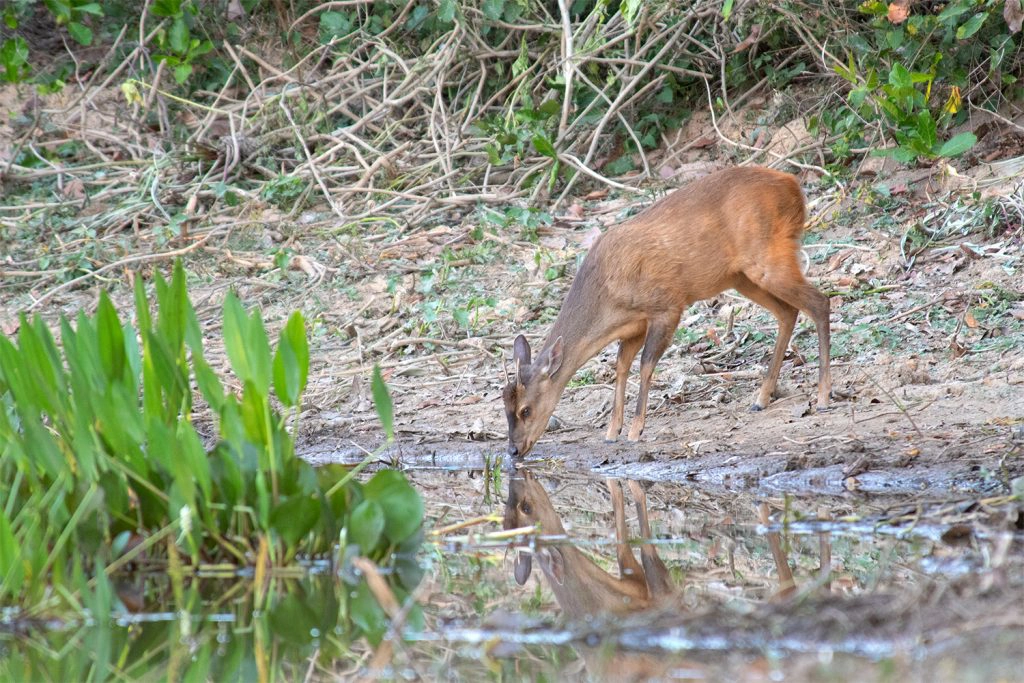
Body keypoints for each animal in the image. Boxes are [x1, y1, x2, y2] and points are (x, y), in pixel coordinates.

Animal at [502, 166, 832, 457]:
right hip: (741, 277)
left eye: (526, 409)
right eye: (505, 407)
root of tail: (793, 185)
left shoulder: (667, 305)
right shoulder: (634, 326)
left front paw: (635, 430)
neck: (608, 296)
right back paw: (762, 398)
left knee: (820, 302)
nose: (514, 450)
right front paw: (611, 431)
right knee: (788, 312)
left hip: (767, 256)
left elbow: (646, 365)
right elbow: (620, 367)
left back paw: (823, 396)